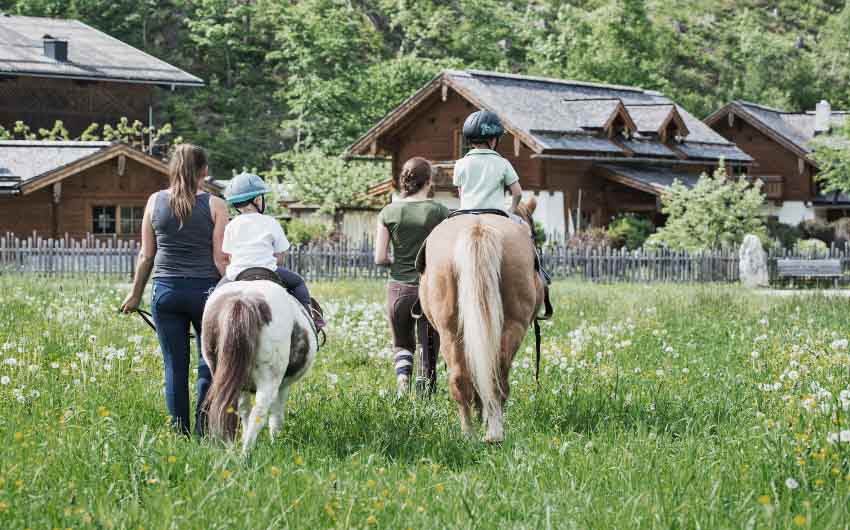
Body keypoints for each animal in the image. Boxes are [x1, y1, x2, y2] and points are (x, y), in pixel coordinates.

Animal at [201, 278, 318, 452]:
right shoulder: (282, 386)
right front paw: (275, 443)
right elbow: (276, 417)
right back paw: (246, 453)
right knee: (259, 414)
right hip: (268, 380)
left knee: (227, 409)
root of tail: (244, 299)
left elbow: (243, 411)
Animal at [418, 198, 544, 442]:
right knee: (495, 377)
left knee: (464, 379)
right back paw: (492, 432)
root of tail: (477, 227)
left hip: (452, 332)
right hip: (511, 327)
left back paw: (470, 433)